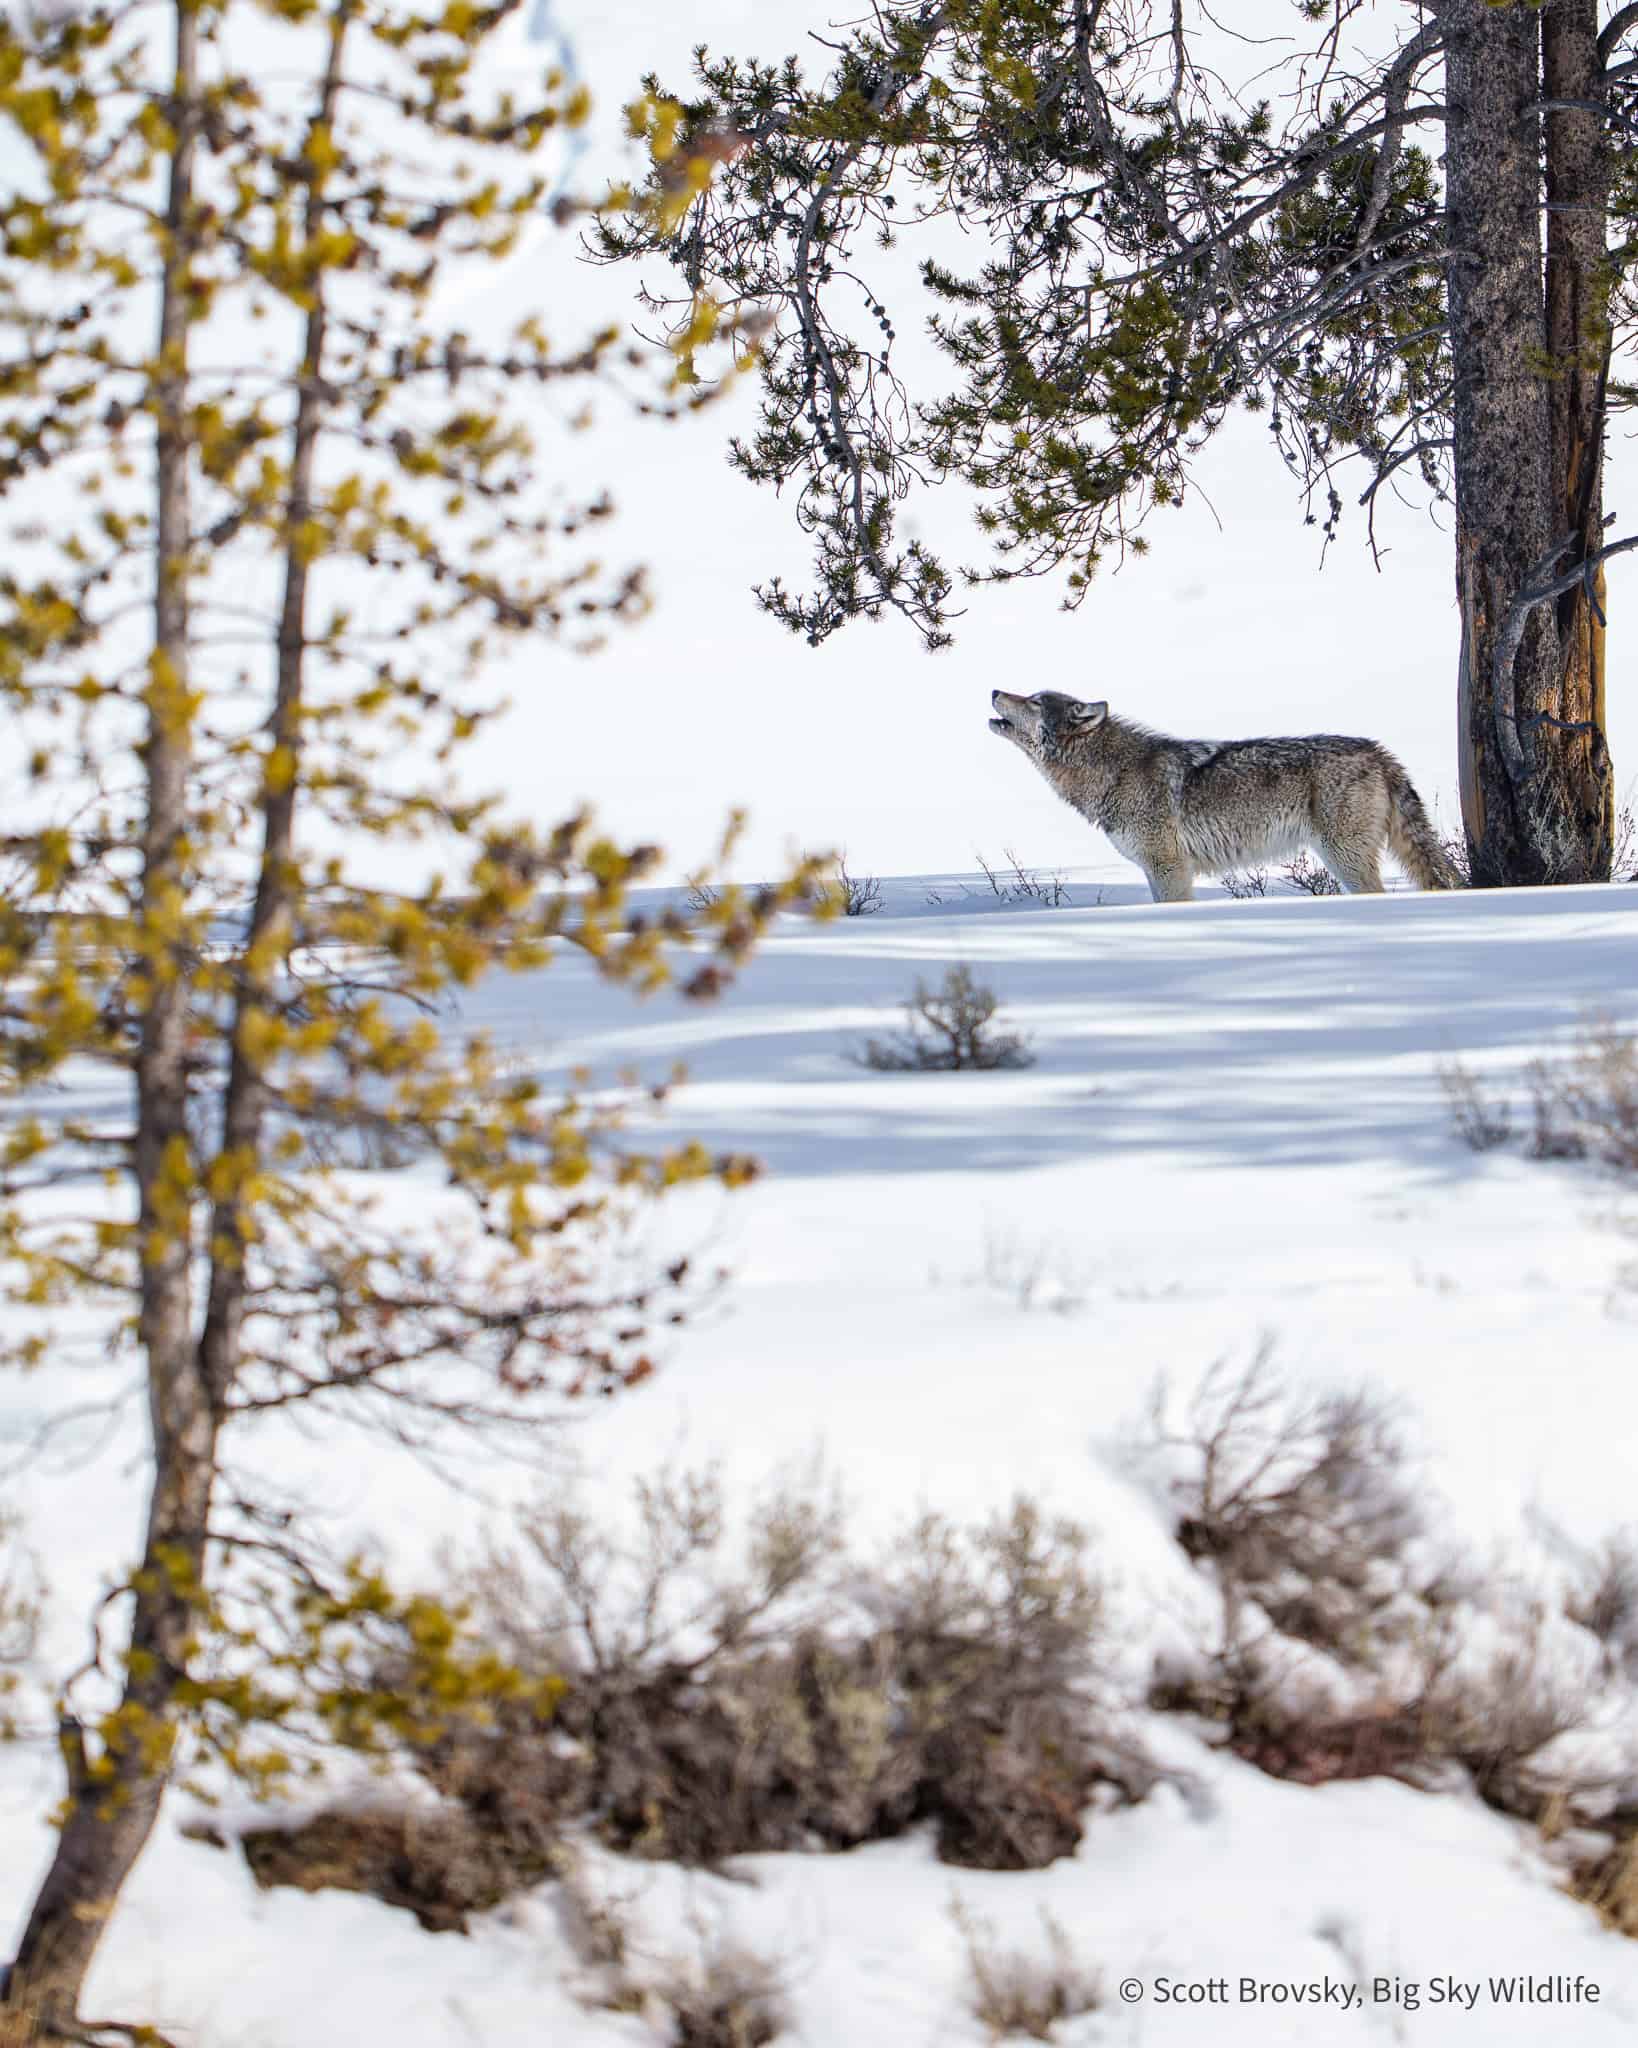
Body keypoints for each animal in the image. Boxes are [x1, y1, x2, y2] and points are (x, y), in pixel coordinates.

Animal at [988, 690, 1461, 902]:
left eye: (1034, 701)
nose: (993, 690)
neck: (1112, 771)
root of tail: (1378, 751)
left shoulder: (1169, 867)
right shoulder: (1157, 870)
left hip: (1342, 857)